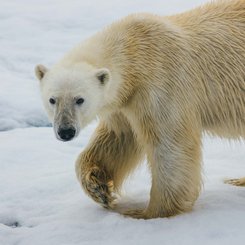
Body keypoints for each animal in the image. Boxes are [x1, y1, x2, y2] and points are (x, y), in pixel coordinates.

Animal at [35, 0, 245, 218]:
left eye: (80, 100)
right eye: (52, 99)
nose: (65, 131)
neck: (134, 51)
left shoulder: (162, 83)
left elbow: (170, 145)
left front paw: (145, 212)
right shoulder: (124, 102)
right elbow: (118, 138)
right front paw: (99, 187)